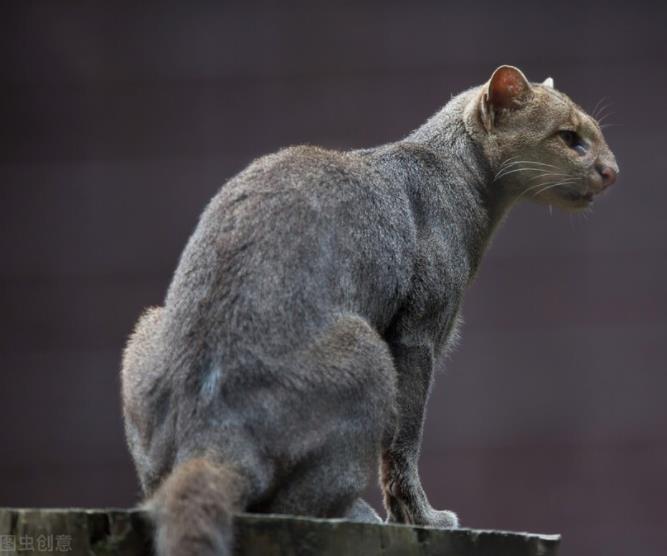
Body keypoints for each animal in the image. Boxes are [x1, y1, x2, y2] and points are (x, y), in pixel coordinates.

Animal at [121, 66, 620, 556]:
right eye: (570, 137)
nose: (612, 171)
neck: (459, 176)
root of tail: (211, 432)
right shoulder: (419, 336)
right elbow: (404, 441)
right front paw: (423, 518)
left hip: (146, 330)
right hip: (366, 350)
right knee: (295, 501)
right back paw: (359, 513)